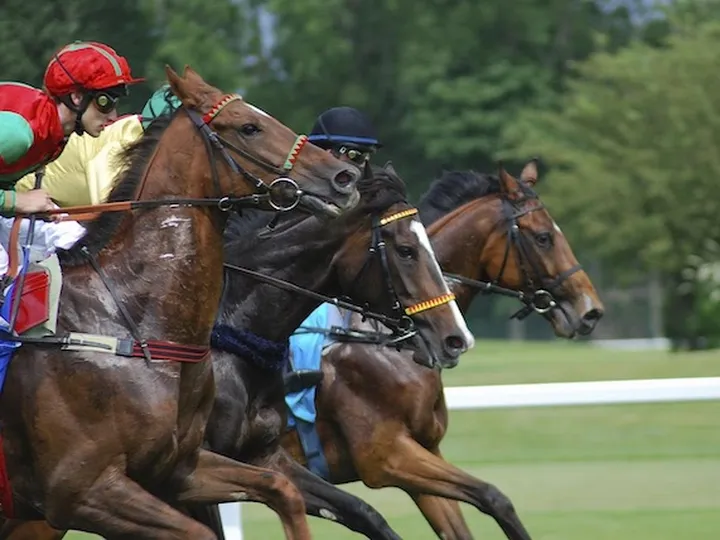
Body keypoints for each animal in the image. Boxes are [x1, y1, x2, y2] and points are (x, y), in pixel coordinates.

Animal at [0, 65, 363, 540]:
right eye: (249, 127)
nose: (344, 177)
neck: (131, 324)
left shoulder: (180, 468)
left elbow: (281, 488)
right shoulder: (82, 491)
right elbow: (202, 532)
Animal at [279, 161, 605, 540]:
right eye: (543, 237)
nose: (591, 310)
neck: (385, 341)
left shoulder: (424, 451)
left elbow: (470, 517)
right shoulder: (386, 456)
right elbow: (493, 497)